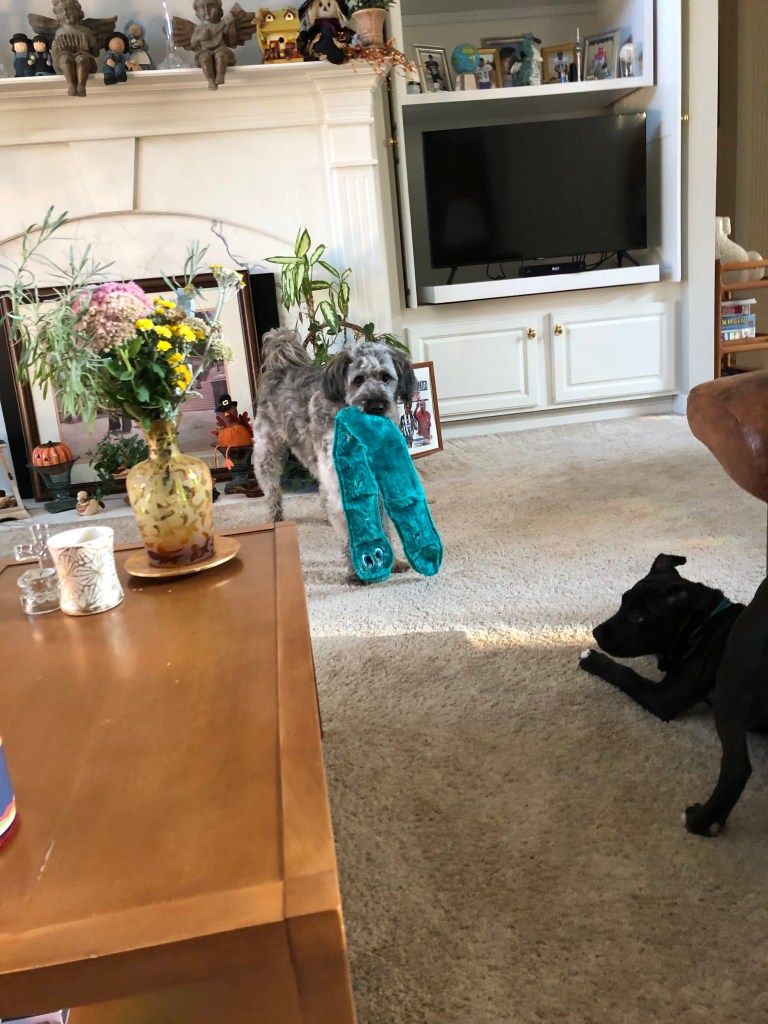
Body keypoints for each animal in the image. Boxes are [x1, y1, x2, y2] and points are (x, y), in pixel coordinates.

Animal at [252, 328, 417, 580]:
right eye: (358, 380)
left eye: (385, 377)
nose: (376, 406)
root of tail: (281, 366)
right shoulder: (343, 487)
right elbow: (352, 529)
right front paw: (359, 569)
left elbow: (381, 524)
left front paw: (391, 562)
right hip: (266, 454)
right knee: (272, 493)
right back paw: (275, 520)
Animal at [579, 553, 768, 835]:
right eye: (623, 602)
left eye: (637, 616)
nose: (596, 632)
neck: (704, 626)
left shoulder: (664, 697)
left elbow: (627, 674)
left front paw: (592, 659)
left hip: (729, 693)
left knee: (737, 768)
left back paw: (702, 821)